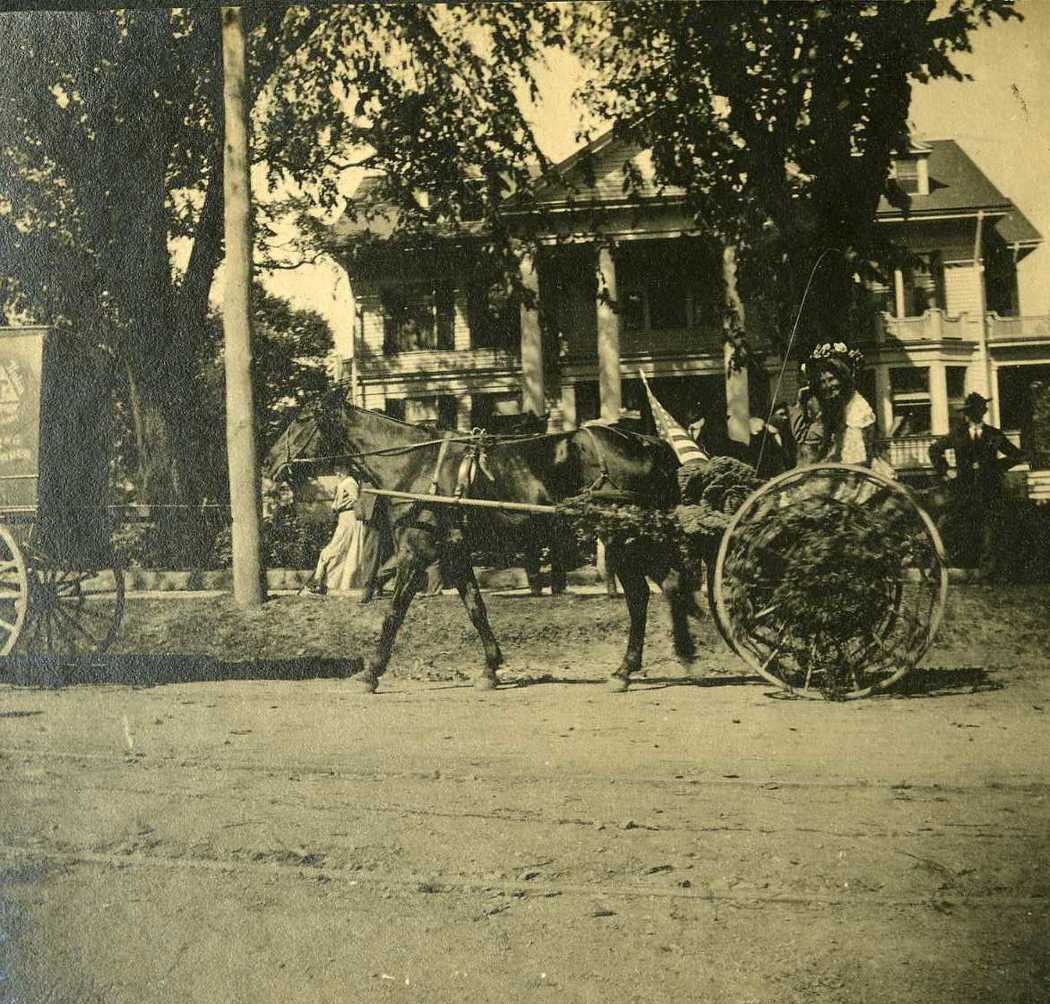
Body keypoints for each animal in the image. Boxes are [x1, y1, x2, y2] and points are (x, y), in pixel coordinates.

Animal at [266, 396, 701, 693]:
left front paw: (371, 672)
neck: (417, 467)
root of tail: (646, 442)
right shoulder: (454, 553)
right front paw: (491, 667)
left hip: (623, 536)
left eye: (300, 419)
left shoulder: (416, 552)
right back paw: (677, 658)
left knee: (643, 594)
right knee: (667, 586)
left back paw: (630, 669)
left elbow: (394, 613)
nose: (269, 462)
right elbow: (476, 609)